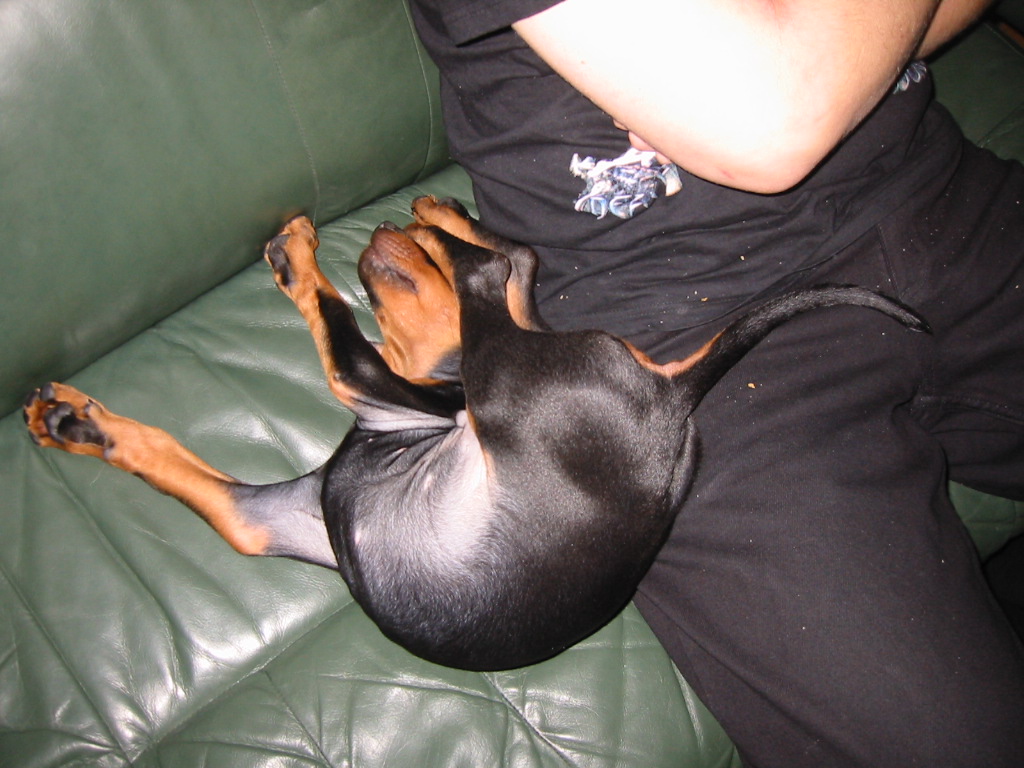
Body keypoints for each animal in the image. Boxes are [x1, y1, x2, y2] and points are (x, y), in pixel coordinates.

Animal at [23, 197, 928, 670]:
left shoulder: (383, 393)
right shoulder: (271, 520)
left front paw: (300, 257)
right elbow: (170, 462)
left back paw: (443, 218)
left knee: (507, 266)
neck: (431, 386)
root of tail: (674, 395)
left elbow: (332, 323)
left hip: (504, 372)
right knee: (517, 273)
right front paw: (75, 422)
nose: (384, 230)